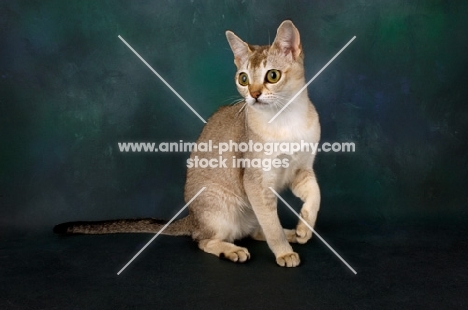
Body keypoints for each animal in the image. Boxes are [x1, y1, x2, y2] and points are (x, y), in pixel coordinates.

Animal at [53, 20, 320, 266]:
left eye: (272, 76)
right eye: (243, 79)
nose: (253, 95)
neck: (286, 120)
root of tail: (192, 218)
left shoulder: (301, 169)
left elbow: (315, 195)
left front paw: (304, 226)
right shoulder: (257, 182)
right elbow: (271, 226)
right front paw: (283, 252)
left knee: (255, 229)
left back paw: (292, 233)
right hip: (222, 209)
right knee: (204, 240)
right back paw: (232, 250)